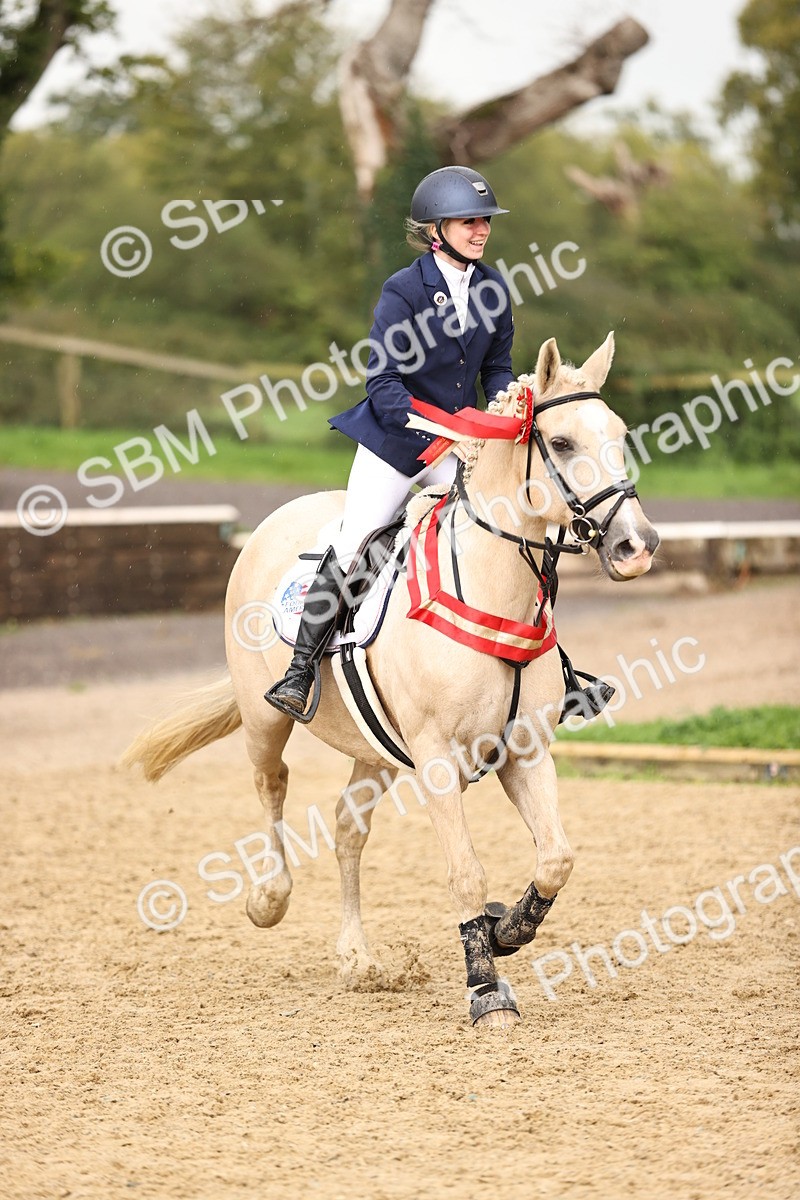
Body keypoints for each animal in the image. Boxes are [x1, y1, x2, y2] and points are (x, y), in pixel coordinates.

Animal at [123, 333, 659, 1028]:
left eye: (620, 435)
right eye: (563, 443)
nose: (637, 546)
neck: (496, 587)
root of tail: (275, 519)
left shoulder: (524, 751)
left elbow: (555, 860)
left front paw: (506, 932)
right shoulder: (435, 758)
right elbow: (465, 872)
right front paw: (486, 992)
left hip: (374, 747)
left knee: (348, 828)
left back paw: (359, 959)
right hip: (265, 716)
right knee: (272, 783)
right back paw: (270, 899)